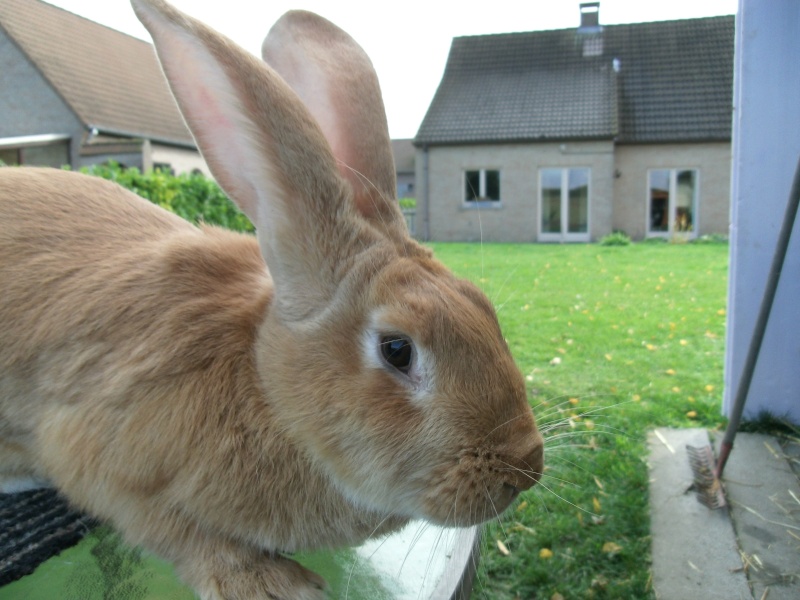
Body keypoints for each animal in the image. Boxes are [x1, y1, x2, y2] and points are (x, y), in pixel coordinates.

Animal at [0, 0, 544, 596]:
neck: (264, 382)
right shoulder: (104, 460)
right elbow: (173, 530)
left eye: (481, 305)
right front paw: (274, 584)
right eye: (397, 350)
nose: (526, 466)